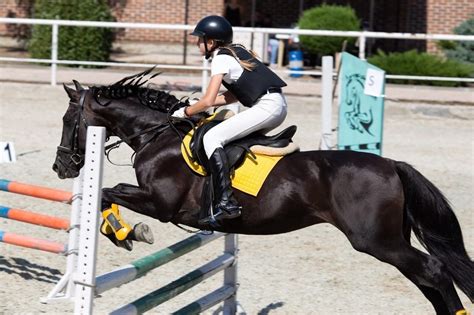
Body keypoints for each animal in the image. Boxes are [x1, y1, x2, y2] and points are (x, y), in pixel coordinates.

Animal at [53, 71, 472, 315]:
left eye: (69, 119)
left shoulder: (161, 204)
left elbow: (107, 192)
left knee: (434, 271)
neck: (158, 137)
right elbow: (106, 194)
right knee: (426, 278)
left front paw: (128, 233)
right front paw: (122, 233)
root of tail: (392, 165)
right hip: (390, 240)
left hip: (376, 241)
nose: (62, 167)